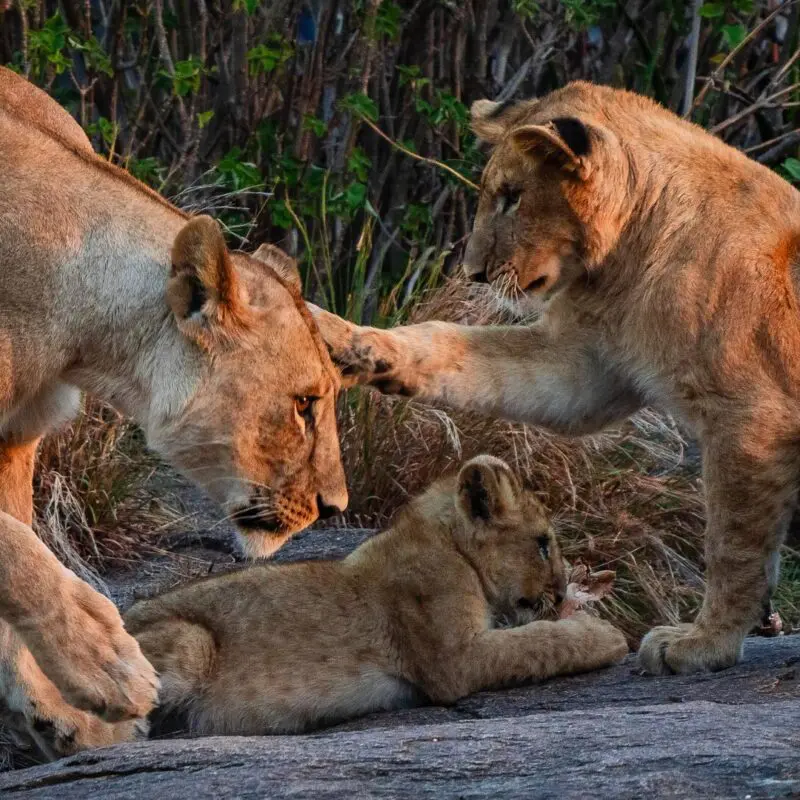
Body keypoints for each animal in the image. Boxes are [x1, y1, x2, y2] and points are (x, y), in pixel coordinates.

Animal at [0, 68, 347, 741]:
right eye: (304, 404)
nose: (335, 507)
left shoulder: (14, 438)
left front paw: (55, 711)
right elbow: (17, 554)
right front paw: (109, 667)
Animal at [115, 455, 626, 738]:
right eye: (543, 544)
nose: (559, 590)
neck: (448, 543)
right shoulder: (454, 661)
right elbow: (540, 642)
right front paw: (604, 633)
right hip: (192, 641)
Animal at [313, 80, 800, 677]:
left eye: (512, 195)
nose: (473, 273)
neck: (628, 260)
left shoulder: (750, 419)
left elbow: (733, 545)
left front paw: (703, 643)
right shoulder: (582, 366)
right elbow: (449, 345)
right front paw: (345, 341)